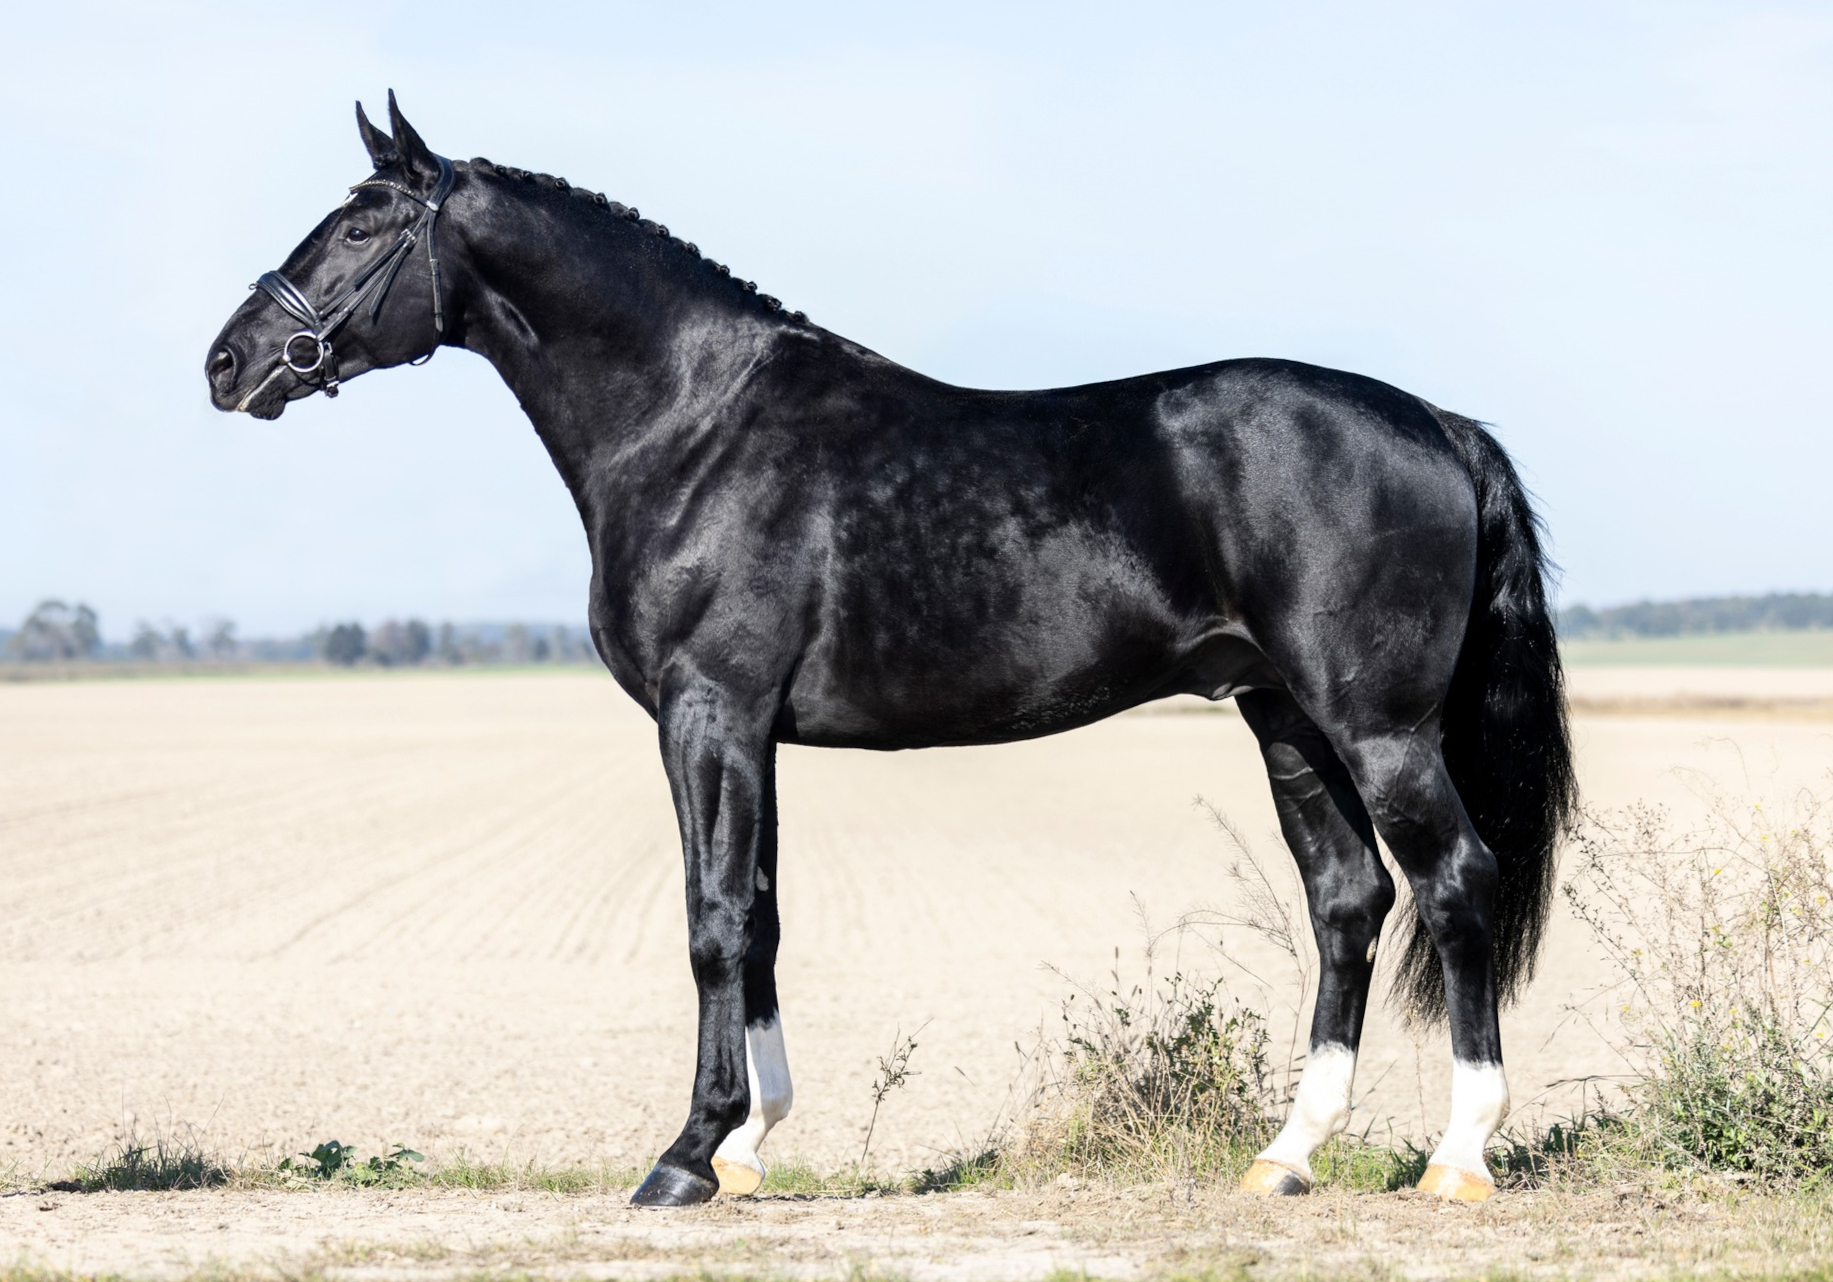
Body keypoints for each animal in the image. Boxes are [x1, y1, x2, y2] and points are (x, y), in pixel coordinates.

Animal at [205, 94, 1575, 1207]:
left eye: (366, 226)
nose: (230, 362)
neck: (694, 426)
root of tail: (1436, 424)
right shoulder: (747, 731)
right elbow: (760, 914)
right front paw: (750, 1146)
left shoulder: (709, 712)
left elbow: (713, 920)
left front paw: (686, 1156)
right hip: (1284, 715)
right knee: (1349, 898)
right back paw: (1287, 1156)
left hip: (1376, 724)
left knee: (1455, 881)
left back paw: (1459, 1157)